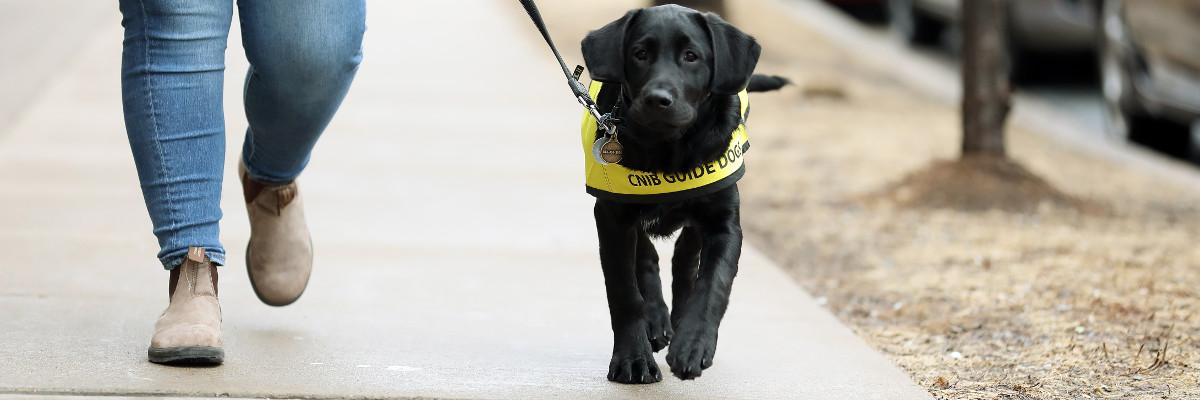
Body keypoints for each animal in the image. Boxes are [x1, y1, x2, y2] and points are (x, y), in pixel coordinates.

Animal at [580, 3, 787, 384]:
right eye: (640, 54)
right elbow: (624, 291)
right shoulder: (612, 215)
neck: (669, 149)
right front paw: (633, 359)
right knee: (649, 257)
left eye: (691, 56)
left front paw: (693, 344)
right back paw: (657, 322)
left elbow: (712, 285)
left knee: (685, 260)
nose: (657, 100)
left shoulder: (724, 224)